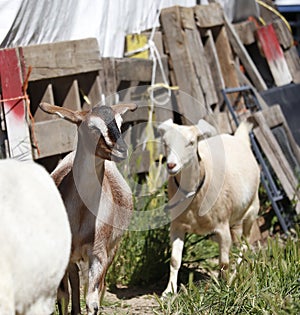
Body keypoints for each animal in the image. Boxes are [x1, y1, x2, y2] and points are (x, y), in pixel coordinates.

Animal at [40, 102, 137, 315]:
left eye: (120, 123)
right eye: (92, 128)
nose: (121, 150)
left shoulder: (98, 254)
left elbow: (92, 301)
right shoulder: (64, 255)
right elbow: (63, 297)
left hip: (112, 250)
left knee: (99, 286)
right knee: (74, 281)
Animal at [159, 119, 260, 298]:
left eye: (191, 143)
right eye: (165, 143)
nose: (171, 165)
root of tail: (238, 138)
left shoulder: (222, 227)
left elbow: (224, 263)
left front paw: (225, 289)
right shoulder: (177, 226)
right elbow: (175, 260)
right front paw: (168, 291)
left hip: (251, 212)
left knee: (245, 245)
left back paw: (234, 276)